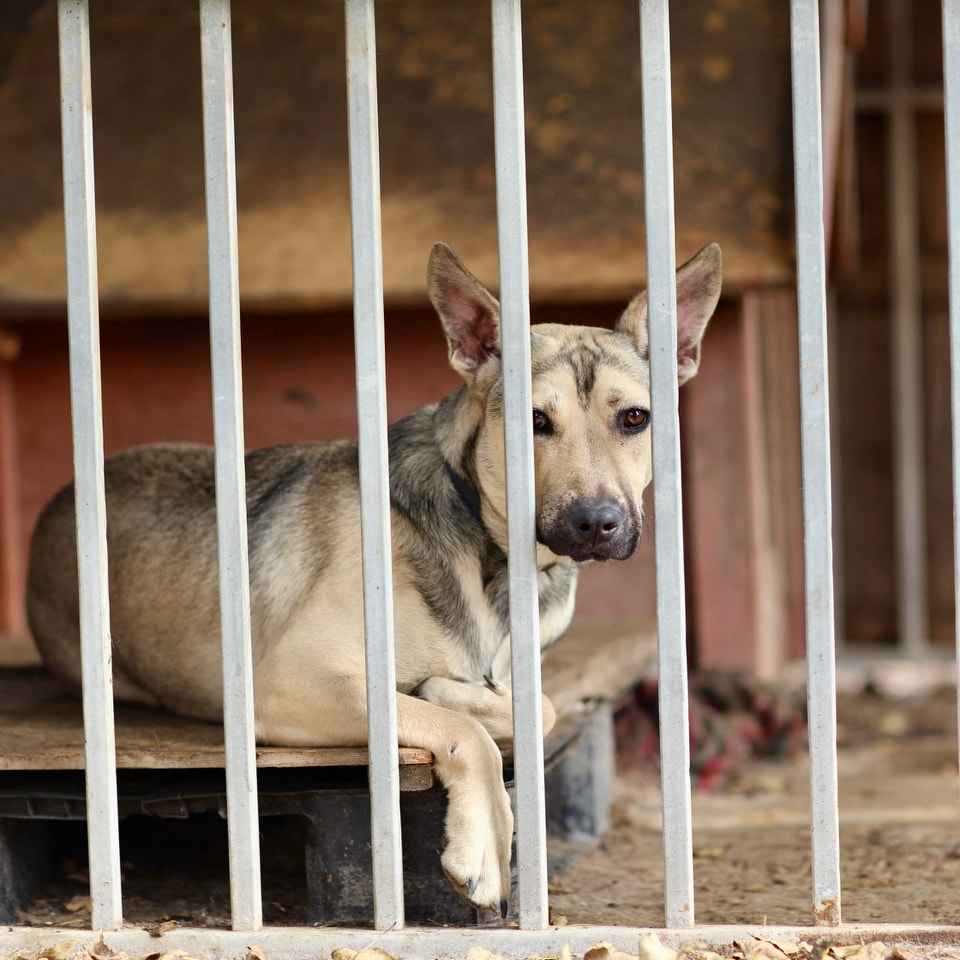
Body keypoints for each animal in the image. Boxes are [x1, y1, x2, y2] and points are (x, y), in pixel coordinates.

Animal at [26, 238, 720, 908]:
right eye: (535, 422)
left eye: (634, 418)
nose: (597, 523)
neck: (487, 551)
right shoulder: (289, 681)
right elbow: (466, 731)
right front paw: (482, 841)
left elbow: (535, 707)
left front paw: (448, 691)